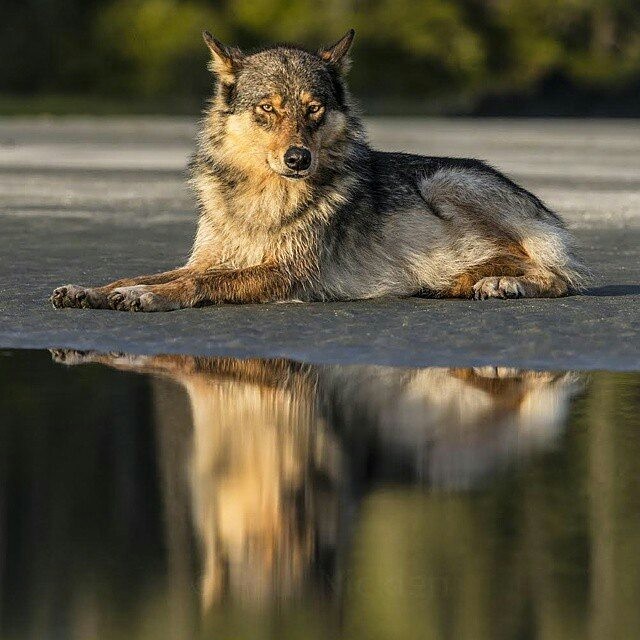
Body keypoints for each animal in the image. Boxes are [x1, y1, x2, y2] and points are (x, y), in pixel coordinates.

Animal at [52, 28, 588, 314]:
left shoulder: (284, 273)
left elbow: (193, 286)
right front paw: (93, 290)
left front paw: (145, 296)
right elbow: (143, 273)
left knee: (560, 276)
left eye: (313, 109)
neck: (262, 197)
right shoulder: (207, 259)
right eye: (267, 109)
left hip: (445, 182)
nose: (298, 159)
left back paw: (502, 284)